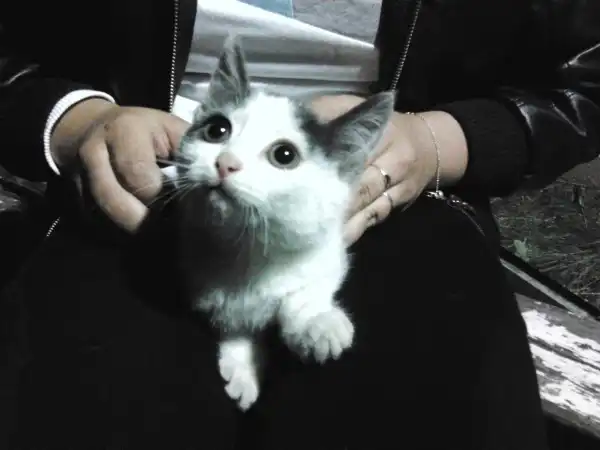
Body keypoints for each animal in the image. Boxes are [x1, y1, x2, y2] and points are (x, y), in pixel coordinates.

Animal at [170, 36, 394, 411]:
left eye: (284, 155)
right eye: (217, 130)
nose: (225, 162)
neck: (247, 249)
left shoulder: (329, 252)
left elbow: (306, 288)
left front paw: (318, 323)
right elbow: (233, 319)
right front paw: (243, 365)